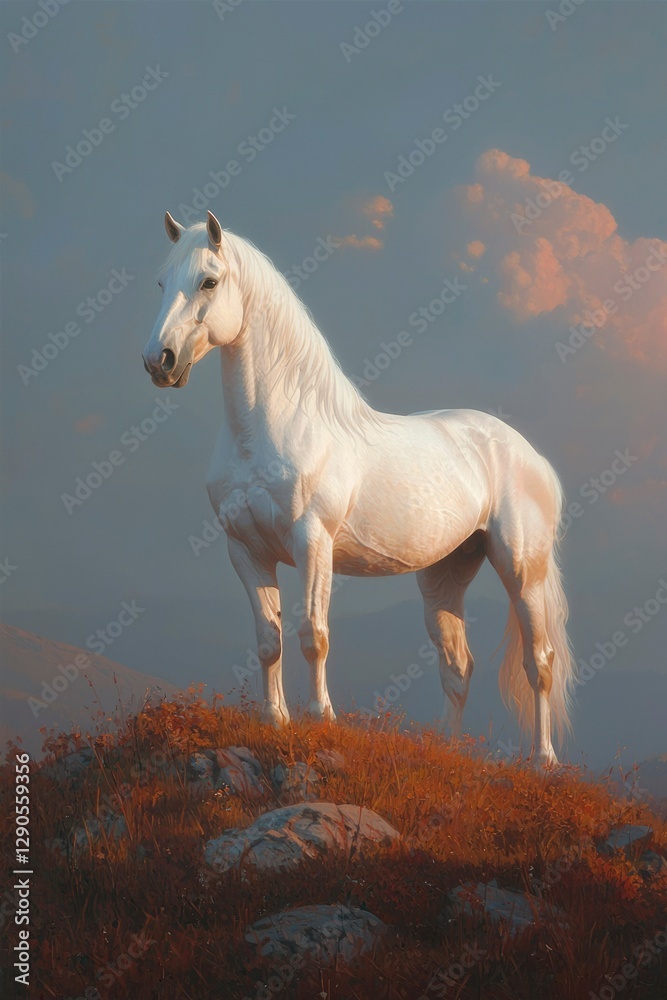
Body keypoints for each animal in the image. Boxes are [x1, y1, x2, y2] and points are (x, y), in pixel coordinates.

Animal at [142, 210, 576, 765]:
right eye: (161, 282)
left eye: (209, 281)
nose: (160, 361)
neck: (267, 432)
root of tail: (532, 457)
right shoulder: (245, 550)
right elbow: (268, 639)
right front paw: (274, 719)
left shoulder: (312, 544)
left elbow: (313, 634)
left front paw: (319, 717)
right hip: (445, 575)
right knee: (457, 666)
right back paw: (446, 751)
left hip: (523, 571)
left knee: (538, 661)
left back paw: (544, 761)